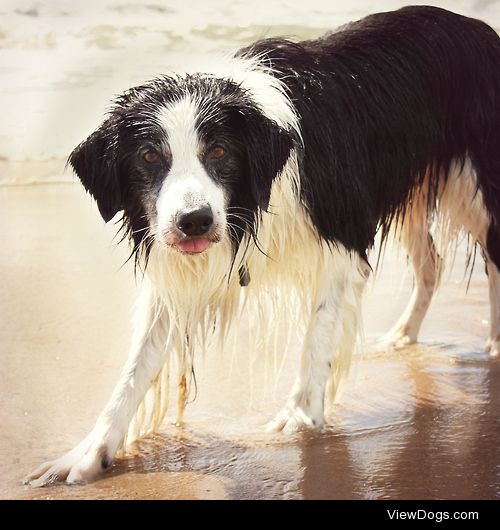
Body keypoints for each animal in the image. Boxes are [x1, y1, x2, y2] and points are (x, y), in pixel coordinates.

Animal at [26, 5, 500, 482]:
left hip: (478, 189)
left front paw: (300, 416)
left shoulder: (340, 238)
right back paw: (403, 335)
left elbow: (319, 335)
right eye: (149, 157)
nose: (195, 222)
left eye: (218, 152)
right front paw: (90, 452)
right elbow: (138, 363)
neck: (256, 195)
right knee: (430, 263)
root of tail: (480, 29)